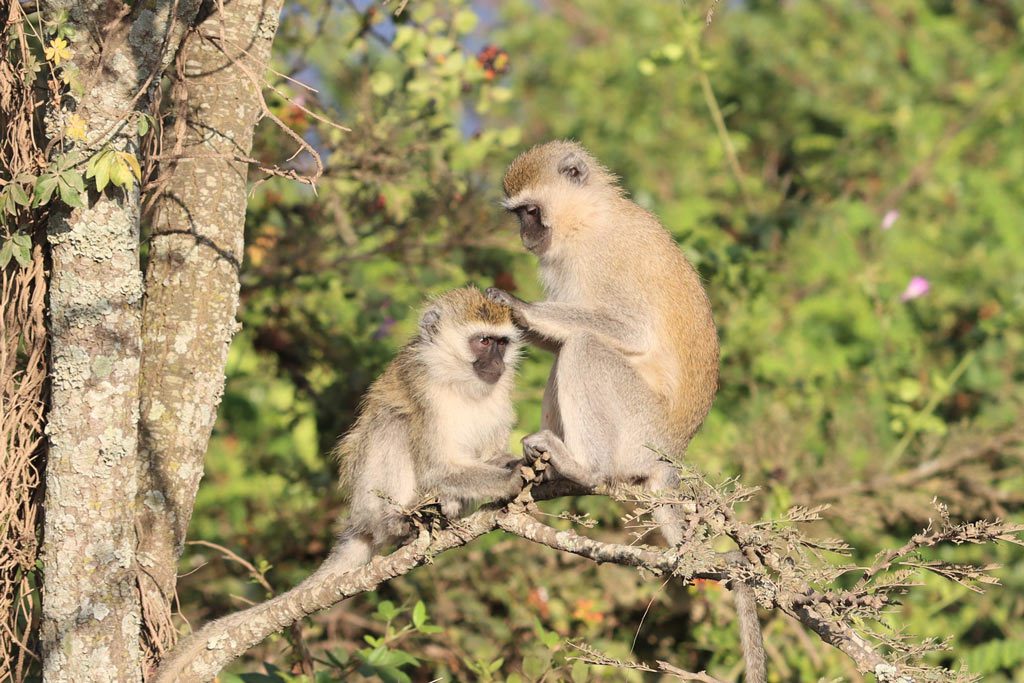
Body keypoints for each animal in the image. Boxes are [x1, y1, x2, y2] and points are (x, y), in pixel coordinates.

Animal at [159, 286, 528, 679]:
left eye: (502, 343)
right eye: (483, 341)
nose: (497, 364)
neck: (460, 382)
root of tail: (358, 519)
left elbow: (490, 453)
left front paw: (517, 463)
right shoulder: (423, 389)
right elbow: (437, 467)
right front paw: (510, 479)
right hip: (369, 498)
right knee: (394, 422)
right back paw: (397, 522)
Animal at [487, 140, 770, 683]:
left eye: (531, 211)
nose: (524, 235)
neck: (589, 217)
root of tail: (671, 455)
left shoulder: (606, 257)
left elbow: (630, 328)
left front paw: (517, 303)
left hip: (640, 427)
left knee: (584, 347)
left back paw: (584, 467)